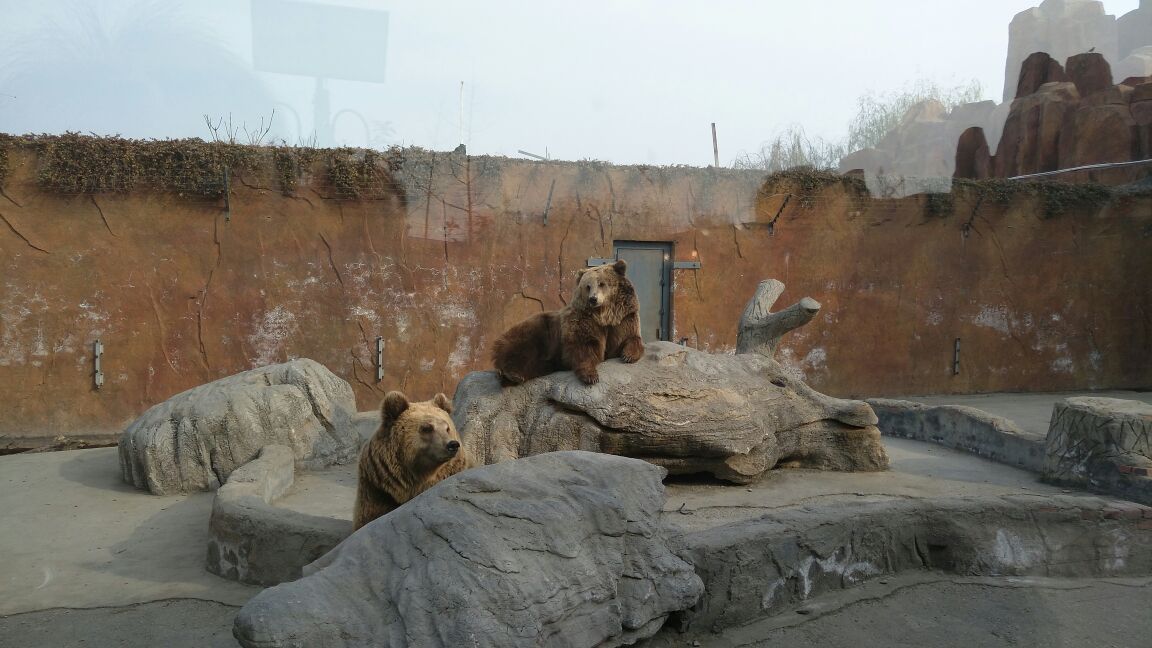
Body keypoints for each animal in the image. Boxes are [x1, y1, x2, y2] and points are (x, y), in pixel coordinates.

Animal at [490, 258, 645, 382]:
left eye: (602, 283)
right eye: (588, 286)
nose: (593, 299)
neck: (604, 315)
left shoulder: (624, 318)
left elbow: (630, 338)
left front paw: (628, 356)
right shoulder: (583, 321)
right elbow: (584, 347)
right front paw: (591, 376)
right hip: (538, 331)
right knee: (521, 349)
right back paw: (512, 374)